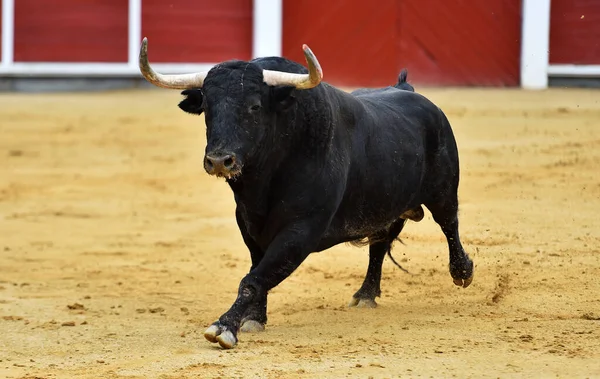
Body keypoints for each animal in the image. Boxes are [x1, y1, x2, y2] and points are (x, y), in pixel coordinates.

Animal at [139, 38, 474, 350]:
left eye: (255, 106)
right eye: (207, 108)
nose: (220, 160)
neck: (264, 181)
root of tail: (407, 89)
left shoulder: (302, 229)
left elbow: (253, 278)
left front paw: (225, 327)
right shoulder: (249, 224)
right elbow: (257, 269)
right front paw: (254, 319)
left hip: (444, 190)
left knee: (449, 224)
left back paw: (462, 271)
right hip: (385, 204)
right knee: (379, 245)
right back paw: (365, 295)